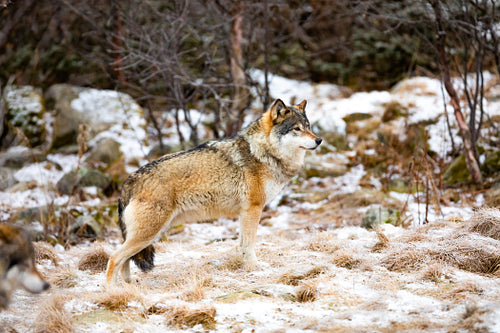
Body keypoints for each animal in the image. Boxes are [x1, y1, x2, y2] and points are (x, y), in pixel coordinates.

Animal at [107, 98, 322, 282]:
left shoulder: (244, 212)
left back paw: (128, 286)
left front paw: (245, 266)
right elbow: (250, 243)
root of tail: (130, 180)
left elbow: (242, 244)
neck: (262, 152)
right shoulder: (253, 208)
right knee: (114, 258)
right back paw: (112, 292)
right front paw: (255, 267)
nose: (319, 140)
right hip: (148, 234)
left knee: (124, 260)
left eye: (308, 127)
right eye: (296, 129)